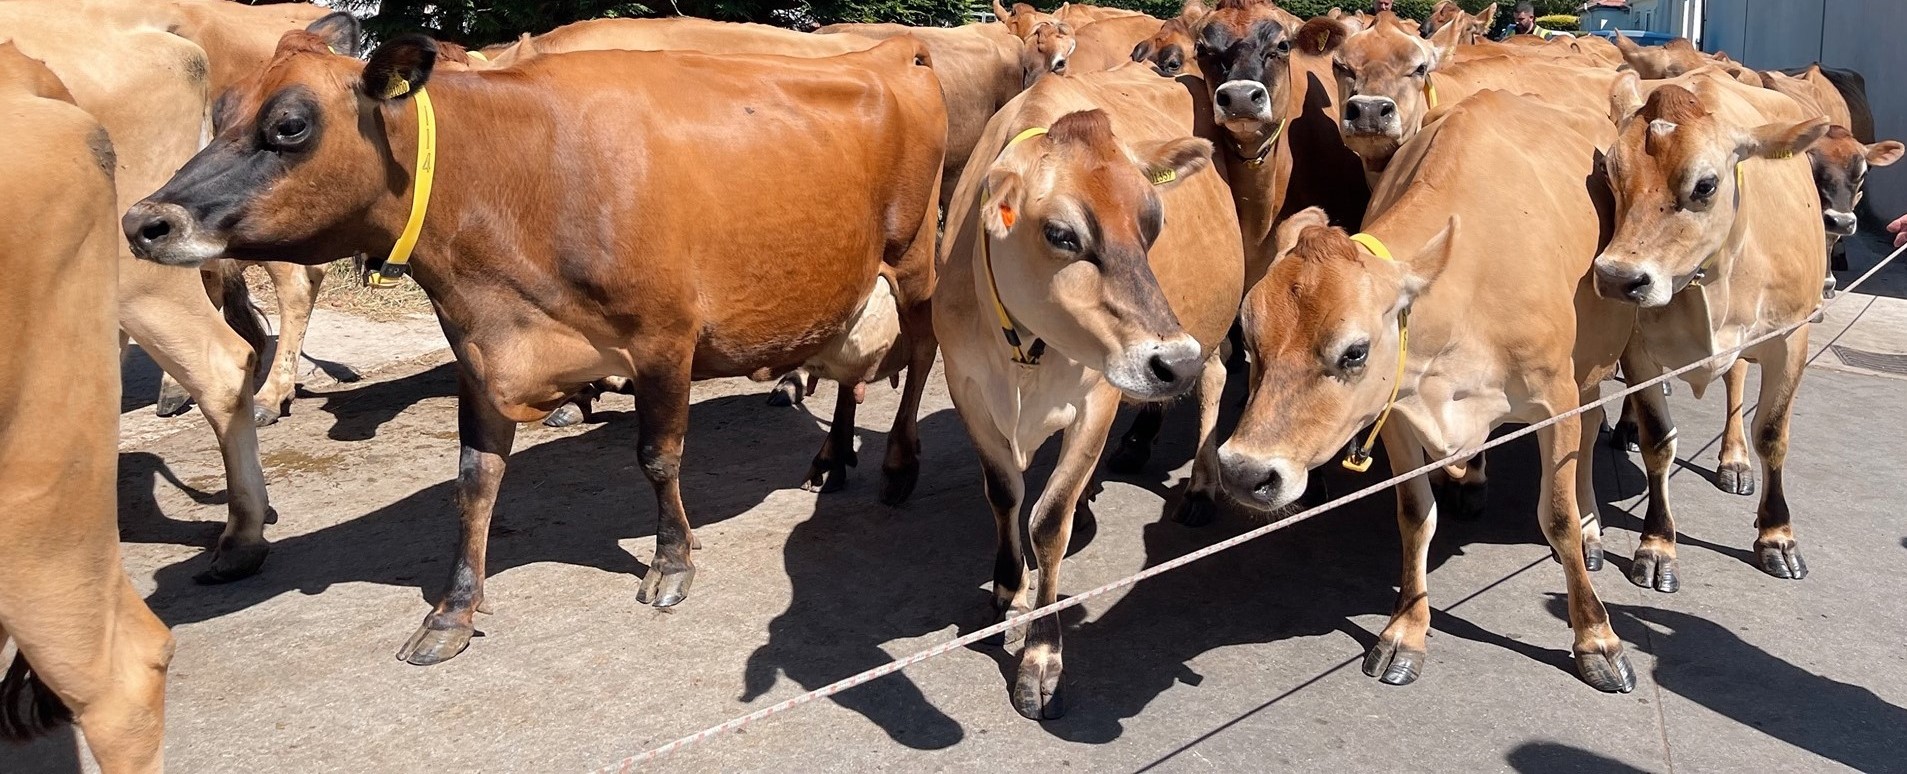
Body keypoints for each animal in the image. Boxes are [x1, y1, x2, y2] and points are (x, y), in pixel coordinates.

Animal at [124, 31, 945, 663]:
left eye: (291, 125)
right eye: (221, 112)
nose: (142, 221)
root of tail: (889, 50)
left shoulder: (664, 340)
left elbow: (659, 458)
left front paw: (671, 563)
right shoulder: (480, 355)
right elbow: (474, 482)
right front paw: (452, 614)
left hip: (911, 260)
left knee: (923, 353)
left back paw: (899, 466)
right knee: (849, 369)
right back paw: (832, 458)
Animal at [942, 64, 1243, 720]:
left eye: (1155, 222)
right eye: (1061, 234)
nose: (1173, 360)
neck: (1023, 350)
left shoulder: (1097, 399)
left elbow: (1047, 520)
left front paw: (1040, 658)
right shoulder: (966, 386)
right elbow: (1004, 494)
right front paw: (1009, 590)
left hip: (1212, 324)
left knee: (1216, 380)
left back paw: (1201, 485)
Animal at [1220, 89, 1640, 690]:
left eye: (1354, 352)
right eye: (1250, 342)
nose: (1243, 472)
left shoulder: (1554, 399)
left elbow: (1555, 515)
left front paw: (1597, 638)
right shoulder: (1396, 411)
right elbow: (1415, 516)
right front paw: (1406, 629)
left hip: (1595, 366)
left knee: (1587, 438)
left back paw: (1590, 529)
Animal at [1586, 71, 1823, 590]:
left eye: (1706, 185)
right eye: (1611, 172)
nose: (1616, 277)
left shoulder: (1791, 337)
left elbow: (1772, 432)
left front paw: (1777, 537)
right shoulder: (1639, 350)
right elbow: (1659, 442)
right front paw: (1657, 545)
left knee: (1736, 382)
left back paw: (1734, 459)